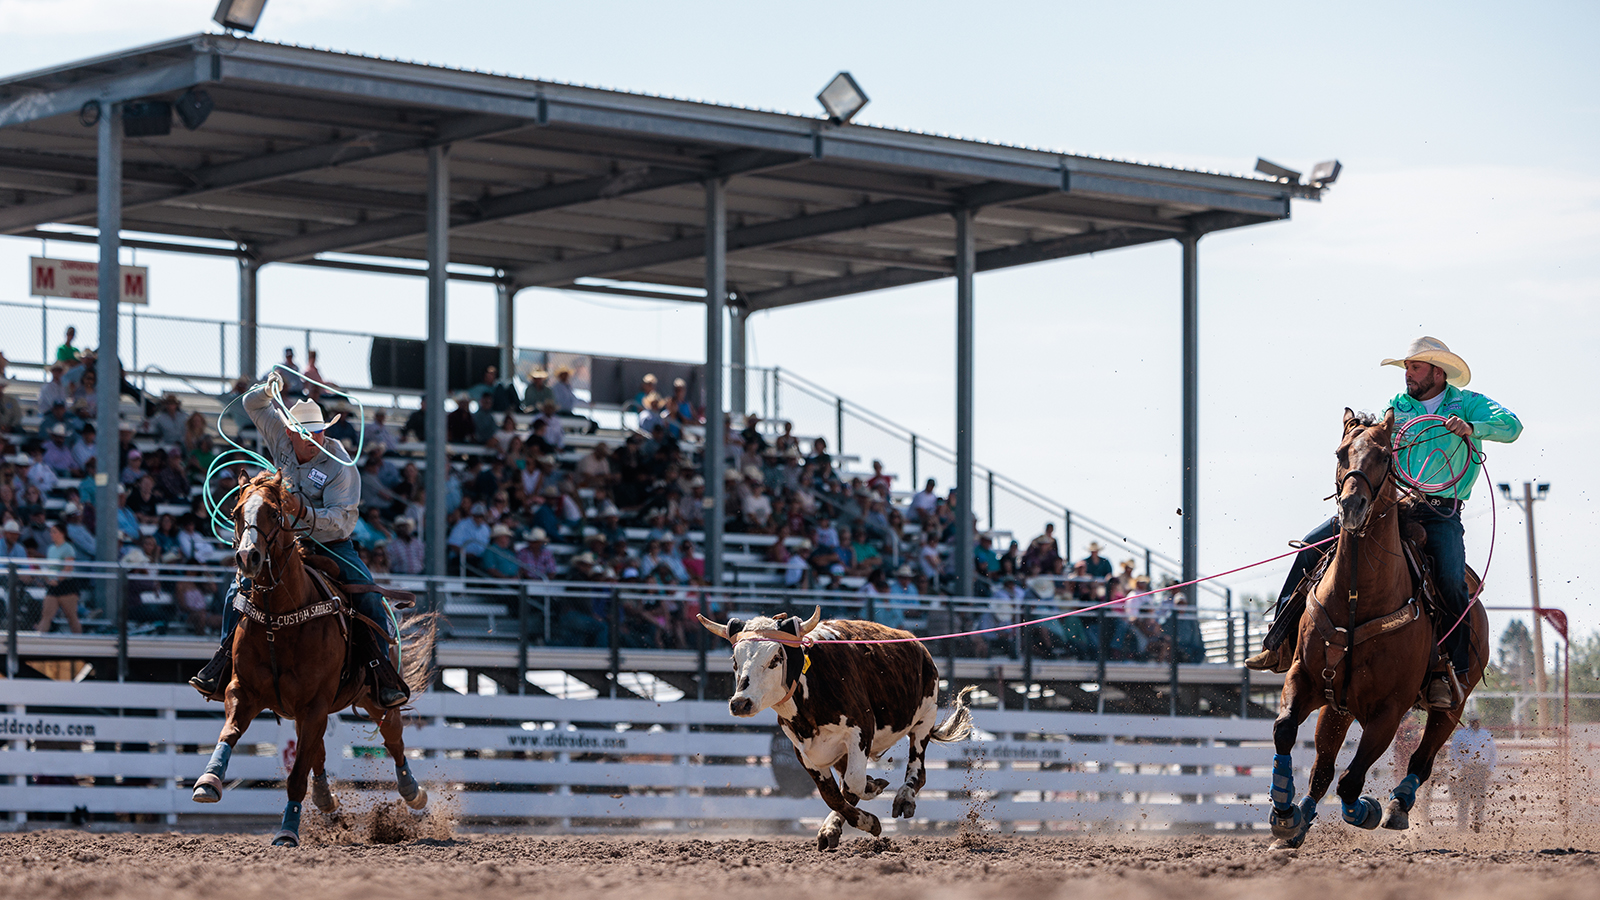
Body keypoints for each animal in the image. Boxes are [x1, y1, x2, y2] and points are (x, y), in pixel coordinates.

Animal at [189, 474, 435, 845]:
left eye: (275, 513)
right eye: (235, 512)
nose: (248, 557)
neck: (279, 619)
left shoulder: (315, 703)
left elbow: (296, 776)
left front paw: (287, 832)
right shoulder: (242, 692)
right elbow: (229, 733)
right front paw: (208, 781)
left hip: (375, 700)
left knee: (393, 739)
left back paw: (413, 793)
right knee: (317, 751)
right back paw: (324, 797)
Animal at [1267, 409, 1491, 845]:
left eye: (1386, 456)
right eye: (1340, 453)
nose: (1352, 505)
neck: (1357, 598)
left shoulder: (1390, 709)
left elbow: (1352, 782)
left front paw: (1367, 810)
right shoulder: (1305, 677)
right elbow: (1286, 731)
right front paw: (1284, 813)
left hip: (1451, 706)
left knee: (1421, 760)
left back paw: (1397, 806)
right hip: (1337, 707)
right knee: (1322, 769)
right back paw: (1299, 822)